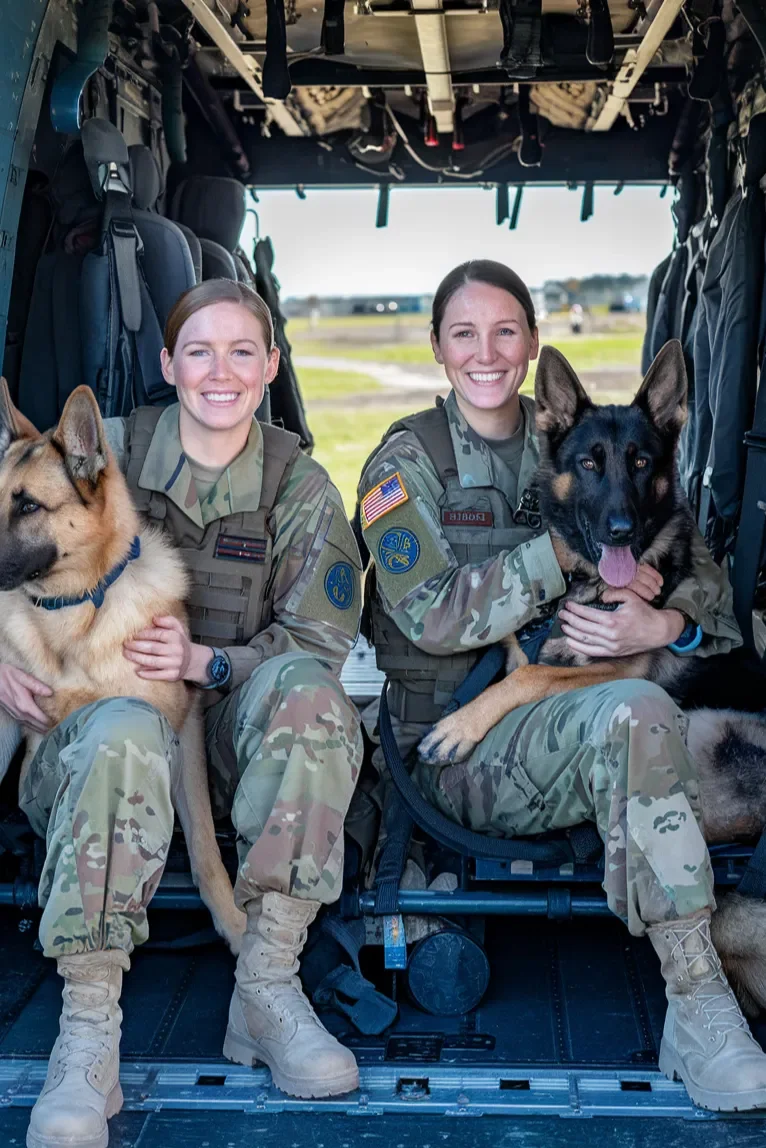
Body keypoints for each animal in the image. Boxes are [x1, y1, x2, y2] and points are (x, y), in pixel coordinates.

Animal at [422, 339, 766, 1014]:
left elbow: (528, 680)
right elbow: (518, 661)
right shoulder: (527, 642)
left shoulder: (616, 660)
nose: (621, 531)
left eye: (641, 463)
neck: (586, 579)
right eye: (588, 463)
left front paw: (459, 725)